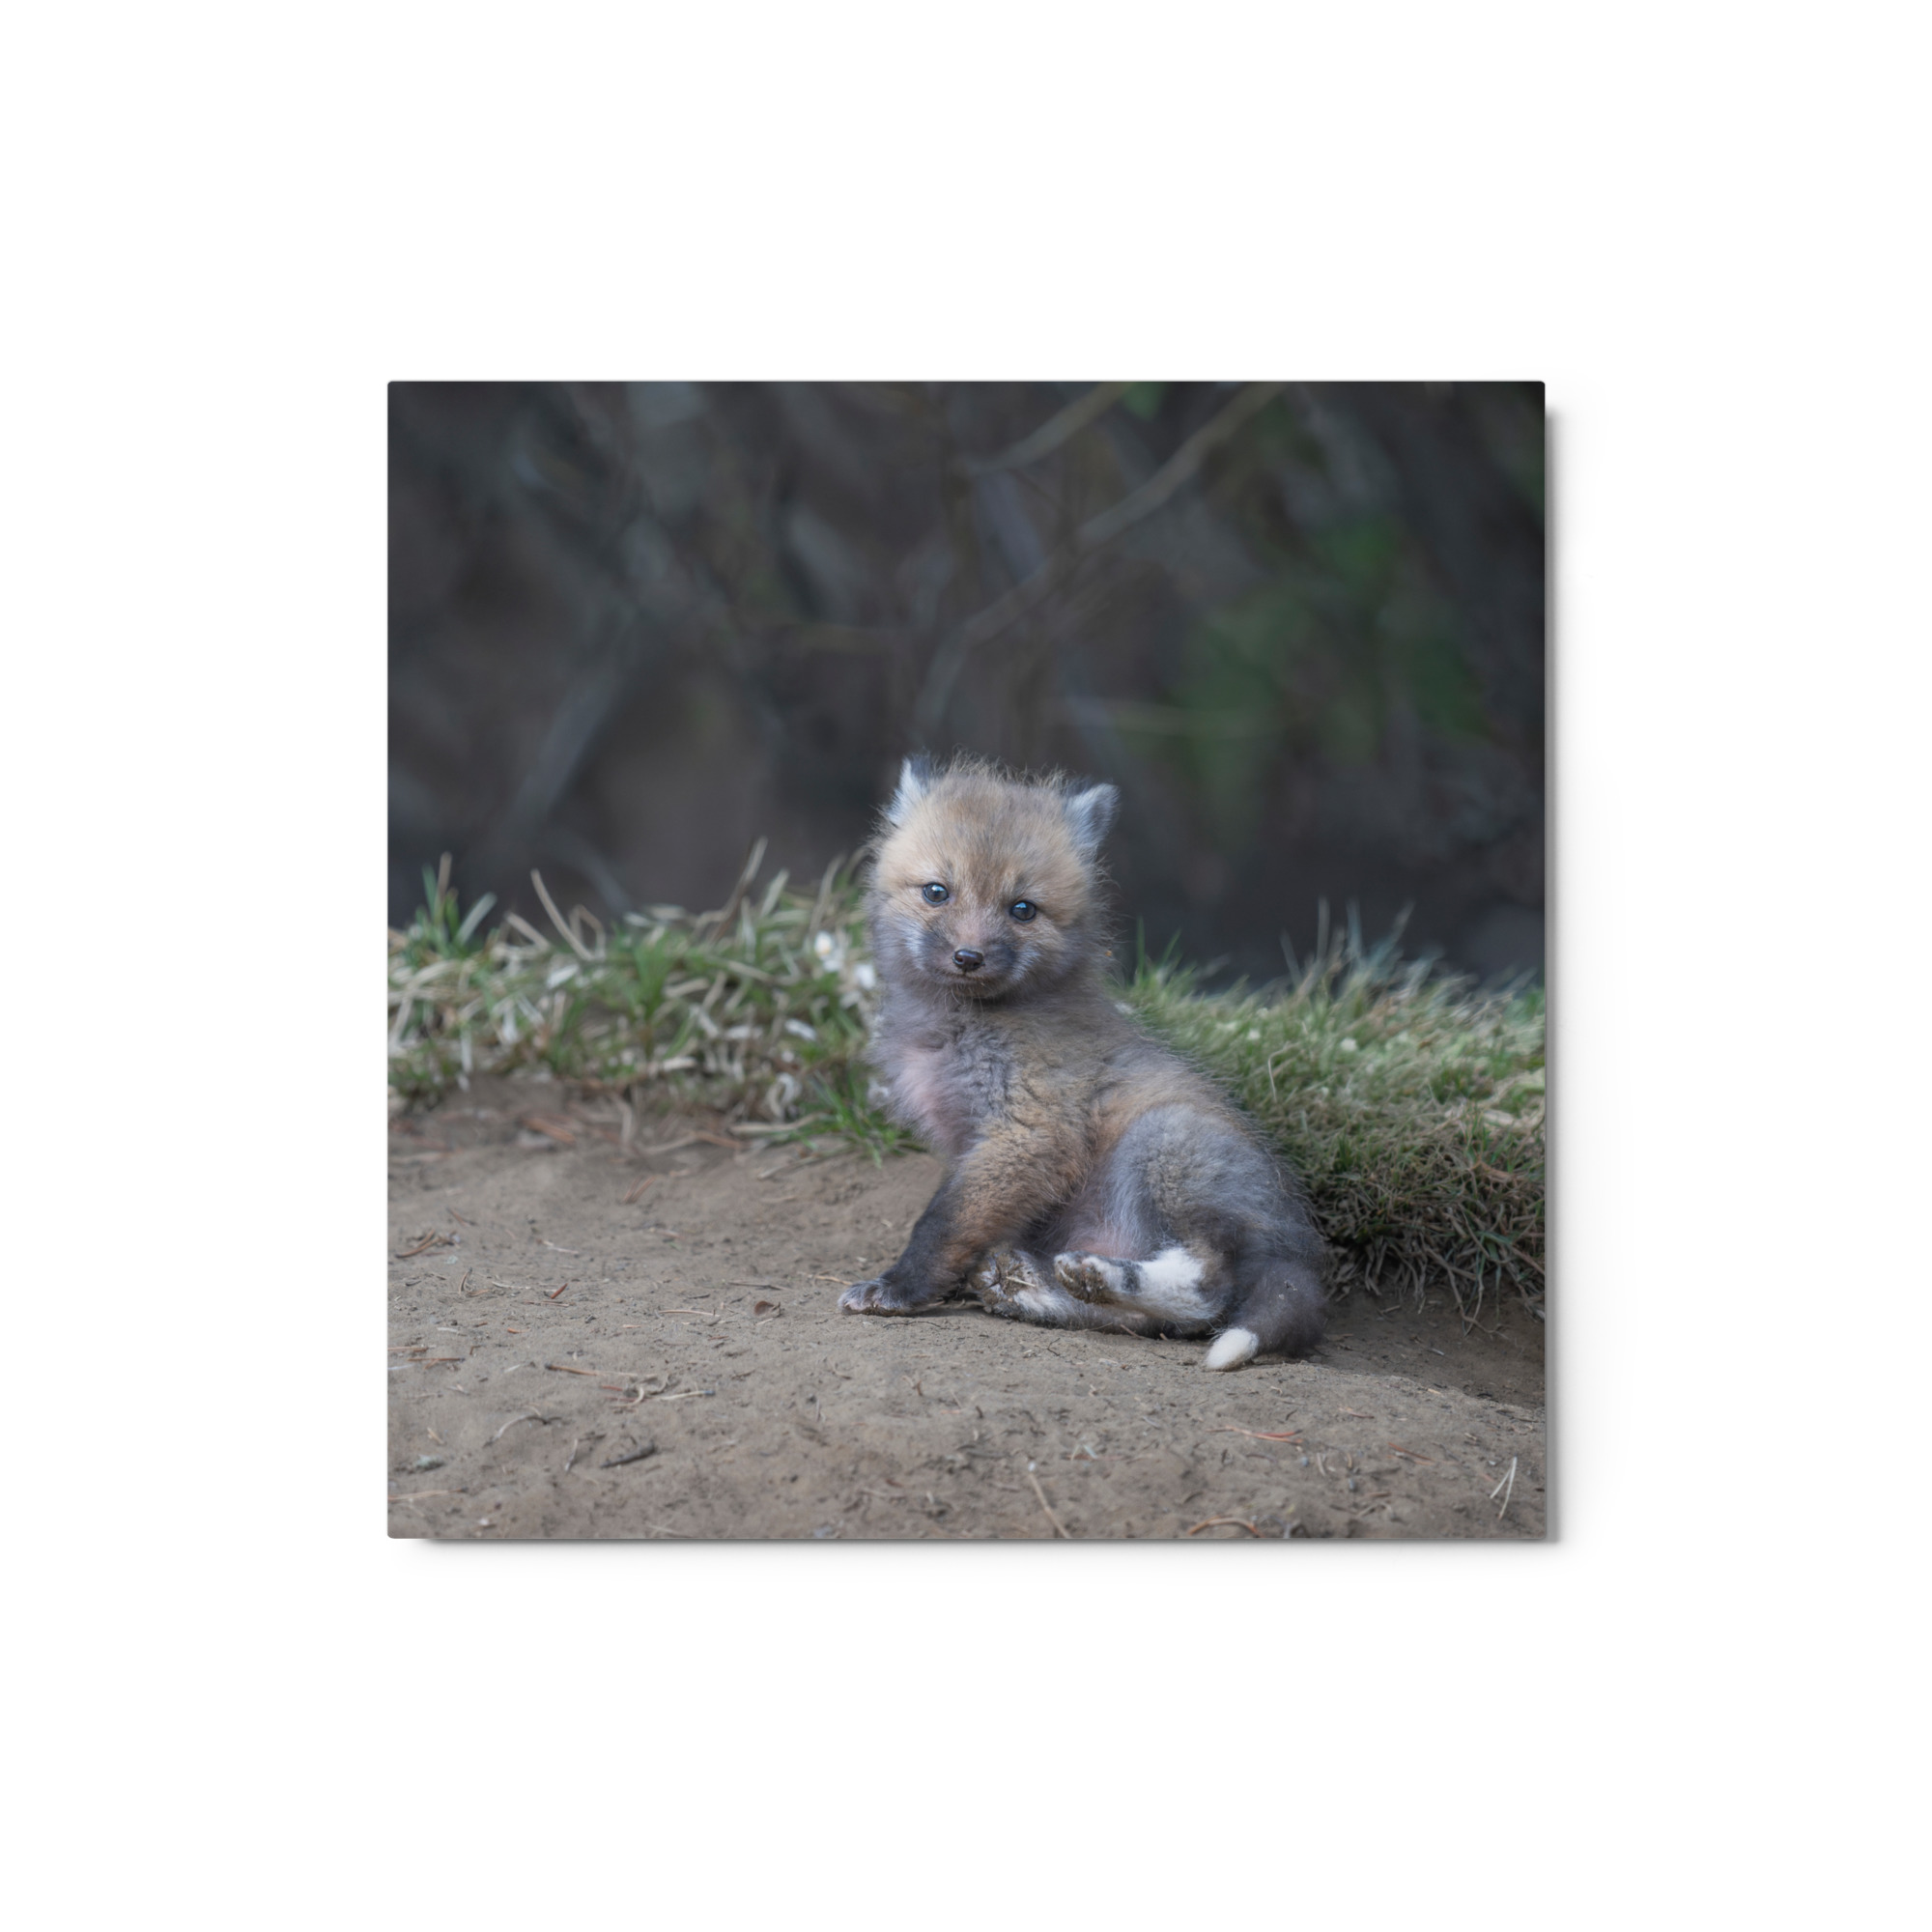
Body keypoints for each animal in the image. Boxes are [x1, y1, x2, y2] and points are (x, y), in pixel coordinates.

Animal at [838, 756, 1328, 1368]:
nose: (968, 957)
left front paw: (899, 1288)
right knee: (1150, 1322)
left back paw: (1097, 1276)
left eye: (1023, 909)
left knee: (1208, 1291)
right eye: (936, 892)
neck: (960, 1027)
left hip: (1163, 1143)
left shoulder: (1029, 1131)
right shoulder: (975, 1144)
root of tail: (1300, 1250)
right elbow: (963, 1224)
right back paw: (1035, 1288)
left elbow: (942, 1223)